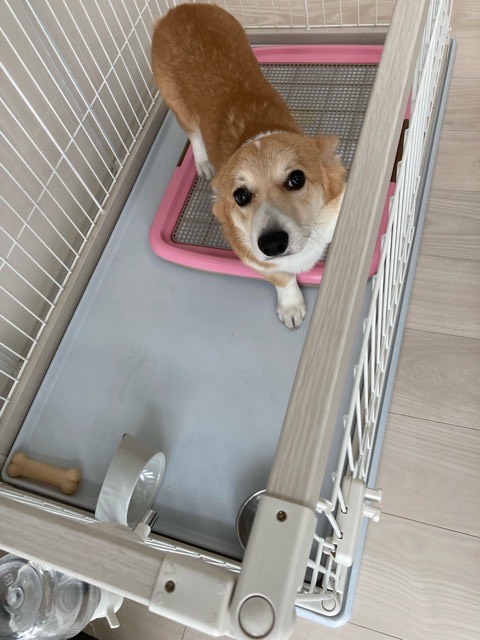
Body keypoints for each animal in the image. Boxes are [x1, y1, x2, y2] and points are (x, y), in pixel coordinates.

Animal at [151, 4, 346, 329]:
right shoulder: (252, 256)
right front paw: (291, 306)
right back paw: (203, 163)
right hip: (178, 106)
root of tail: (178, 10)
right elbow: (282, 278)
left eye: (296, 179)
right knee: (193, 135)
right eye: (240, 195)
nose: (272, 244)